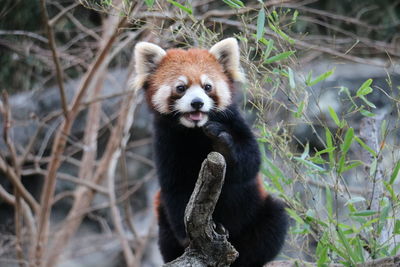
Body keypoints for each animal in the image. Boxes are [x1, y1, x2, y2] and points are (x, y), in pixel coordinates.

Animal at [134, 38, 288, 267]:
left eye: (207, 87)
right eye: (181, 88)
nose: (197, 102)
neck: (196, 131)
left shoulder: (235, 122)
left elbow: (250, 162)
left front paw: (222, 145)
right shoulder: (166, 142)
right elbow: (176, 187)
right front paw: (187, 238)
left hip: (258, 212)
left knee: (274, 220)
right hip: (161, 215)